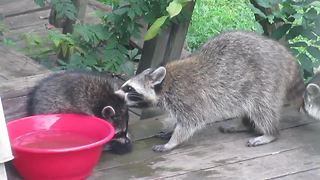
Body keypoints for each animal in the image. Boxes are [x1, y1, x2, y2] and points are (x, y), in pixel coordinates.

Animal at [115, 30, 302, 152]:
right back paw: (244, 124)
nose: (114, 95)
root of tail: (284, 54)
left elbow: (191, 122)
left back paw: (270, 133)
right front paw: (171, 130)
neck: (166, 83)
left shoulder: (186, 96)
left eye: (128, 88)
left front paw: (173, 141)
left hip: (265, 80)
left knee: (261, 109)